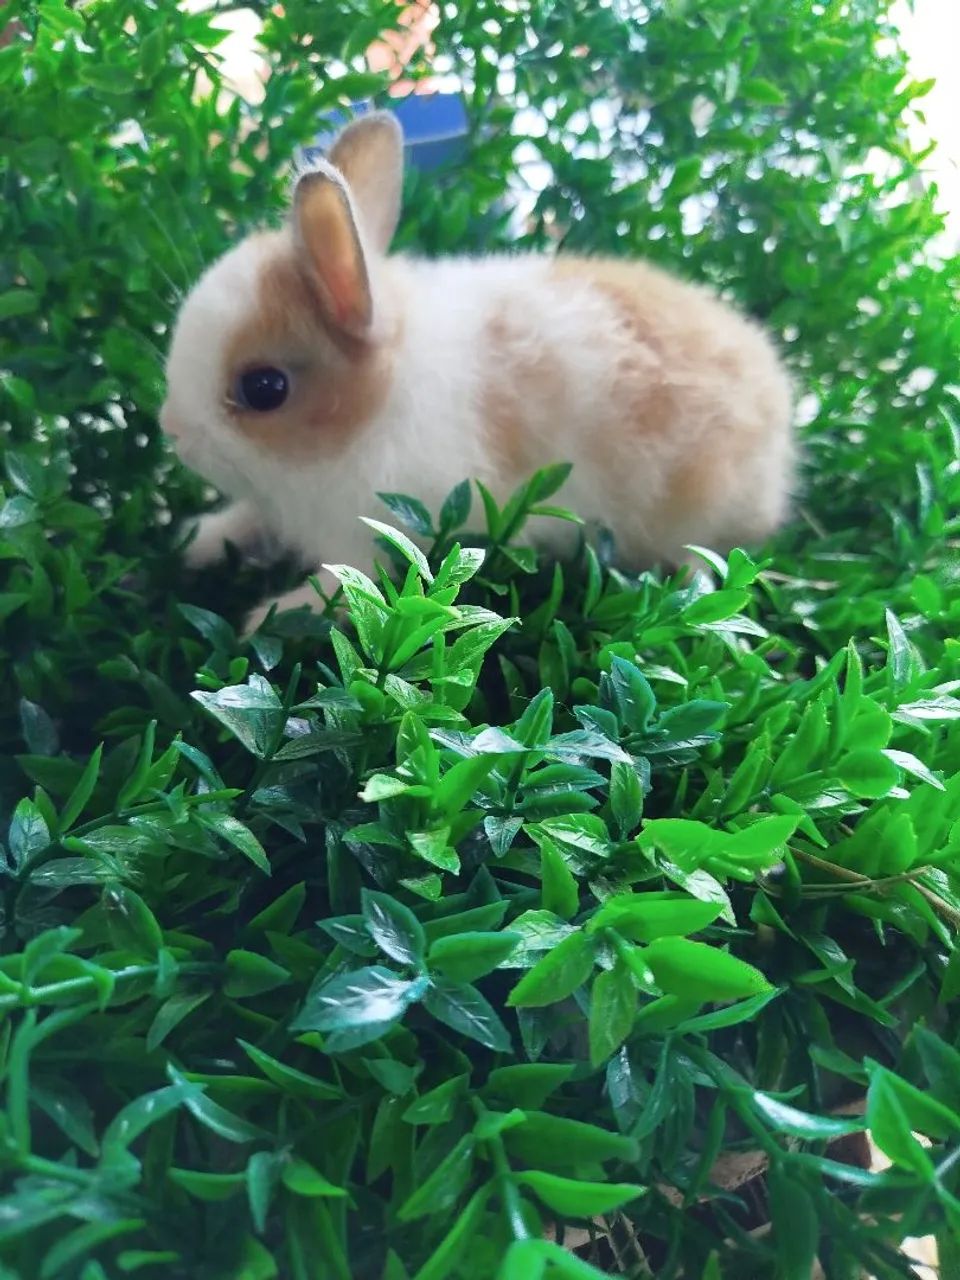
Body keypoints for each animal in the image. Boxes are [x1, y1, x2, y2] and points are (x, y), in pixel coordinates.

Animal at [160, 111, 794, 630]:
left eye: (265, 389)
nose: (172, 429)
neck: (374, 406)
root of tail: (779, 404)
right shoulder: (276, 505)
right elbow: (245, 520)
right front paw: (193, 540)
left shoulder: (380, 536)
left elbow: (346, 587)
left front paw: (267, 617)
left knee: (704, 557)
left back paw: (691, 597)